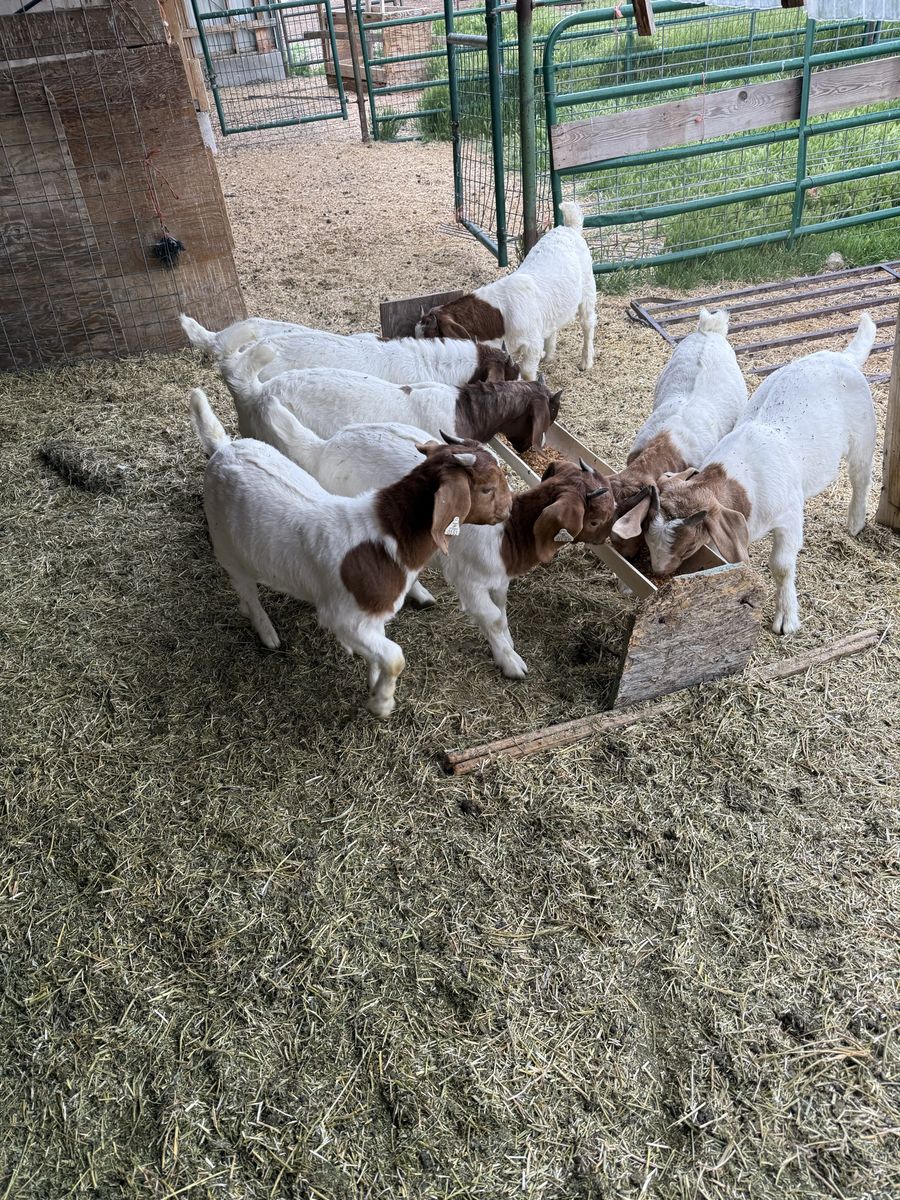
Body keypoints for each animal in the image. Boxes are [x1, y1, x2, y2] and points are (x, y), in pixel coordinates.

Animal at [189, 389, 511, 717]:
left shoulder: (372, 615)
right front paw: (382, 702)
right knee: (246, 590)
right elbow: (395, 657)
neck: (389, 536)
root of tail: (224, 448)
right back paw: (267, 632)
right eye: (486, 488)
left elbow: (381, 650)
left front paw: (373, 681)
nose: (508, 509)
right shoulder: (341, 616)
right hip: (226, 546)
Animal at [415, 201, 596, 381]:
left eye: (434, 339)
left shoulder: (532, 344)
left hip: (588, 288)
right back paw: (549, 355)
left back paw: (585, 362)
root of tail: (569, 227)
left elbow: (526, 371)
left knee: (587, 323)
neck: (500, 316)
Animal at [641, 314, 878, 635]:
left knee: (861, 477)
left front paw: (786, 619)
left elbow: (781, 565)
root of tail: (844, 357)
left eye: (688, 544)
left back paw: (855, 523)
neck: (739, 478)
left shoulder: (789, 516)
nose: (659, 571)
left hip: (864, 432)